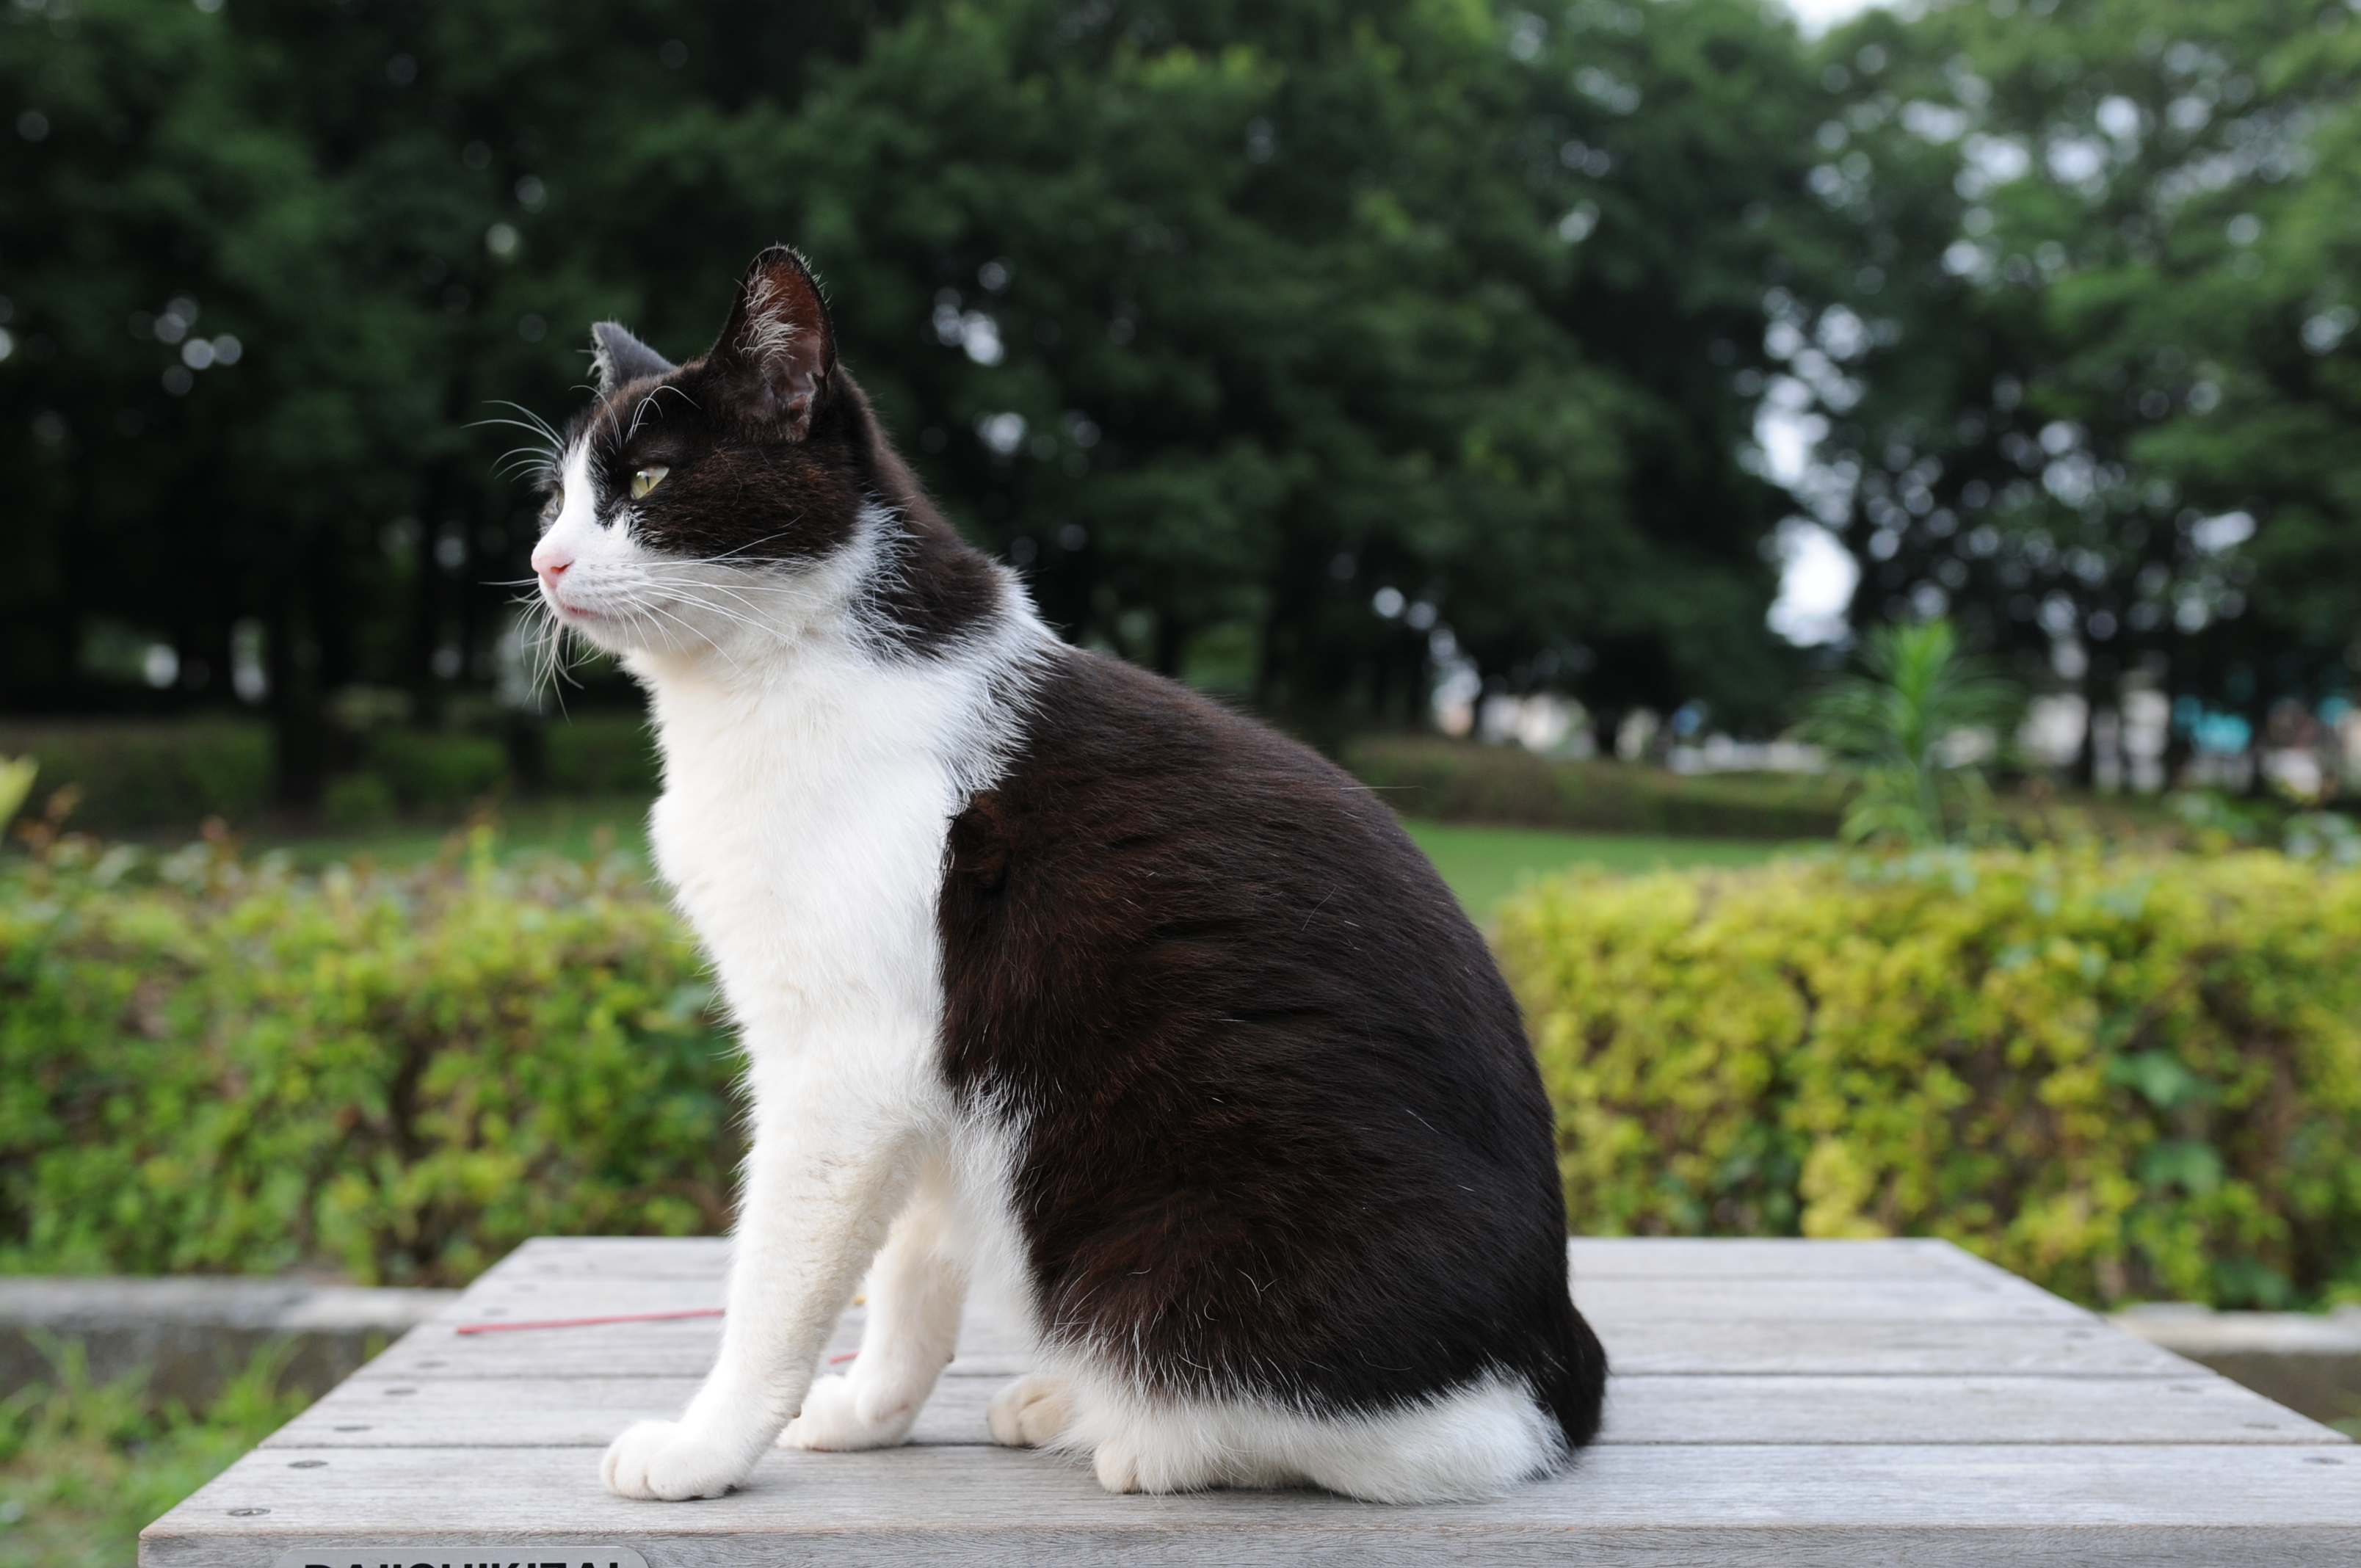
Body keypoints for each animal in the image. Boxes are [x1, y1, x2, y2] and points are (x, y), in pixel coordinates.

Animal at [529, 247, 1614, 1511]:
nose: (546, 561)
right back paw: (1065, 1398)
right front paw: (871, 1412)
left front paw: (707, 1447)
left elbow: (779, 1283)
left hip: (1191, 1234)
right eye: (558, 500)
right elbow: (912, 1267)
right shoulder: (927, 1075)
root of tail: (1560, 1356)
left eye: (649, 482)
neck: (772, 678)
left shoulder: (847, 1063)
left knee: (1420, 1442)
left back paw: (1141, 1435)